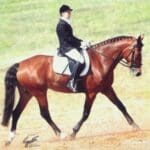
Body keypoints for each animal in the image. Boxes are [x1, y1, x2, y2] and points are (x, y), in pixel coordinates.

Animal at [1, 34, 144, 144]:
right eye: (137, 53)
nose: (137, 73)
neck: (101, 60)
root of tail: (20, 65)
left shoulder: (107, 88)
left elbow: (121, 106)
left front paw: (135, 126)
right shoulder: (92, 93)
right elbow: (86, 113)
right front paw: (73, 133)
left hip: (27, 93)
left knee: (16, 112)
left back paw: (10, 139)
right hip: (39, 92)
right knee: (44, 113)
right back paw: (62, 135)